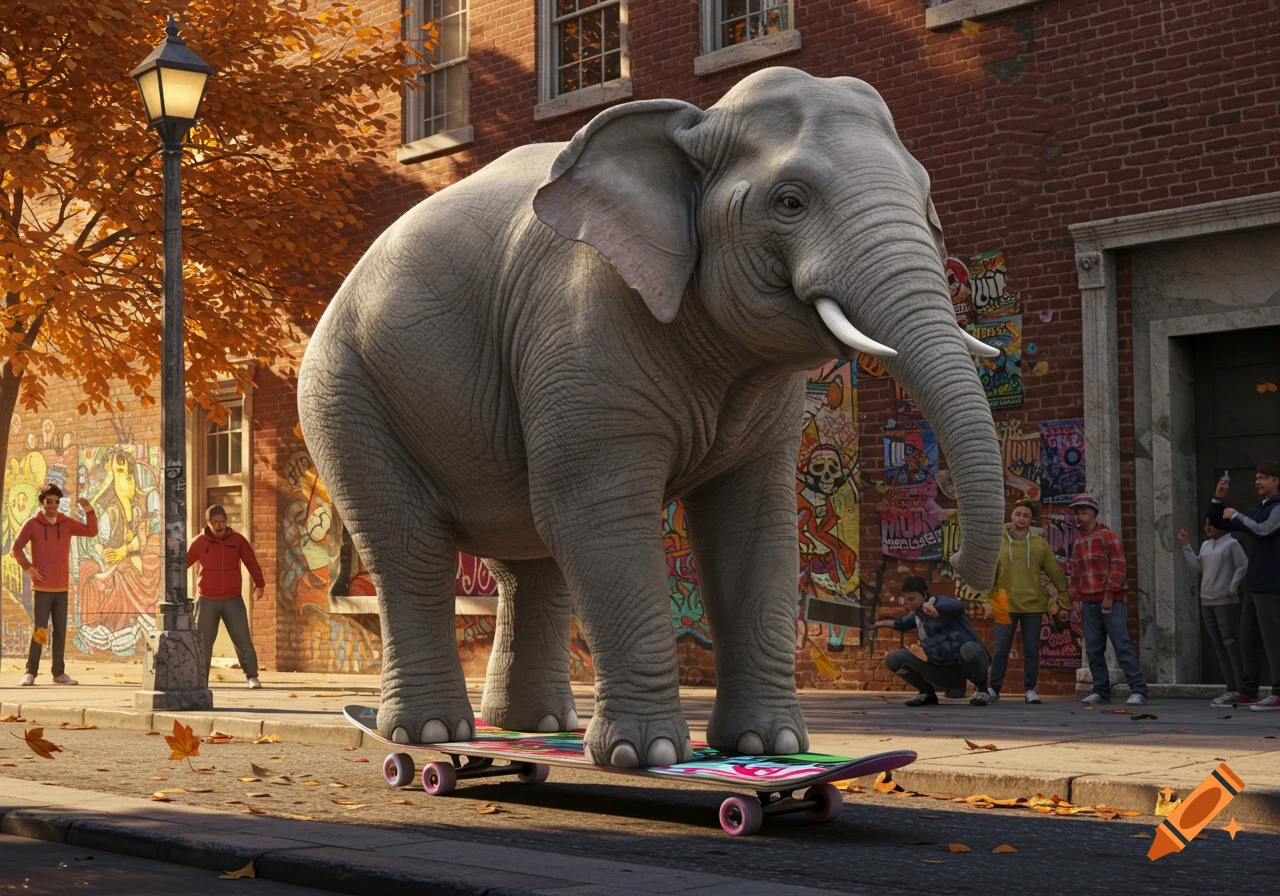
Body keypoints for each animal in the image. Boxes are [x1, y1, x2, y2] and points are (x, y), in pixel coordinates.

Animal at [297, 66, 1004, 769]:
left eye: (928, 198)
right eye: (790, 202)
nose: (951, 567)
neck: (696, 121)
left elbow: (754, 524)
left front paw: (767, 746)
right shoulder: (583, 332)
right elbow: (598, 513)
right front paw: (651, 756)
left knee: (529, 561)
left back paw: (538, 726)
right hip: (343, 394)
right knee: (412, 547)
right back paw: (430, 736)